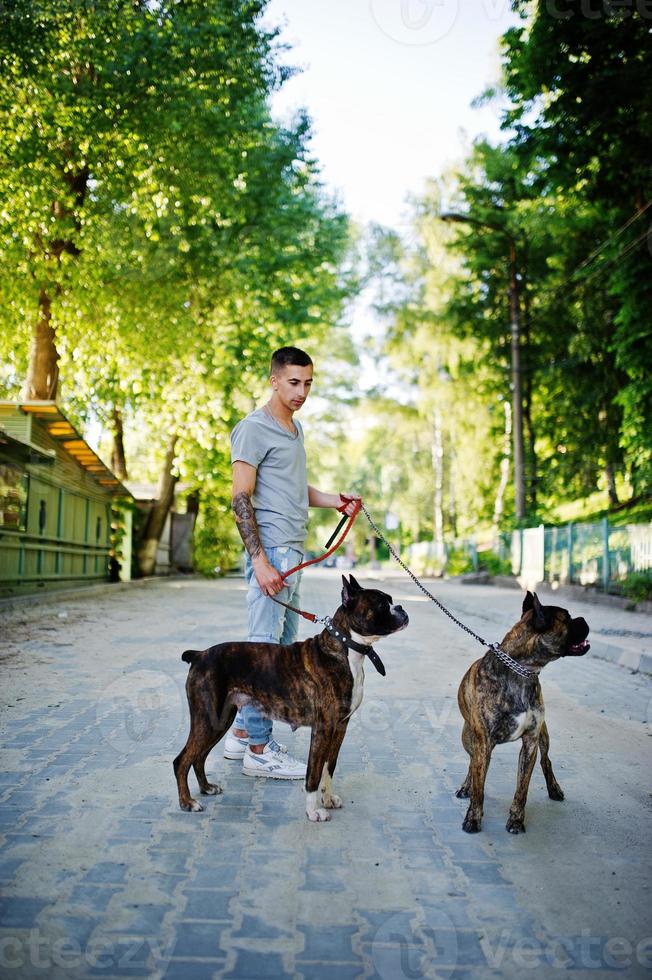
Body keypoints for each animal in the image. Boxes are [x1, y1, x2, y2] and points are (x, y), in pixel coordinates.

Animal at [456, 588, 588, 836]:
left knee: (546, 761)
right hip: (468, 738)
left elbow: (522, 789)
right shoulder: (483, 744)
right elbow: (479, 787)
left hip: (543, 737)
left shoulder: (530, 742)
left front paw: (516, 820)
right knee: (471, 765)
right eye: (567, 618)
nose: (584, 619)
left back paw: (554, 789)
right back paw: (466, 786)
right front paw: (473, 818)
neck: (522, 670)